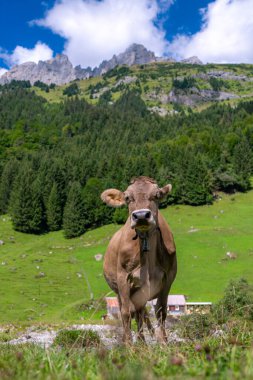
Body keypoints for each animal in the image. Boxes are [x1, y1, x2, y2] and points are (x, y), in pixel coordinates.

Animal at [100, 177, 176, 342]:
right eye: (128, 197)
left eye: (157, 195)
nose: (141, 216)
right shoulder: (123, 278)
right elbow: (126, 313)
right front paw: (129, 345)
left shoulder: (168, 278)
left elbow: (161, 311)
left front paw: (164, 341)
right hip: (121, 291)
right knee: (131, 312)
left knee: (141, 314)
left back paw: (143, 341)